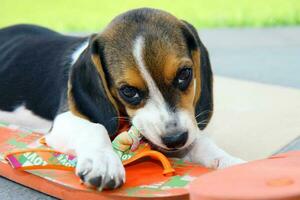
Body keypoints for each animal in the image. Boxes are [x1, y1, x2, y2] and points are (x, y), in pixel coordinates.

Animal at [0, 8, 244, 190]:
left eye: (185, 74)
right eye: (128, 91)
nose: (175, 139)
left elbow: (201, 142)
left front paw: (230, 163)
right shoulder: (63, 120)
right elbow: (96, 127)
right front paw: (103, 161)